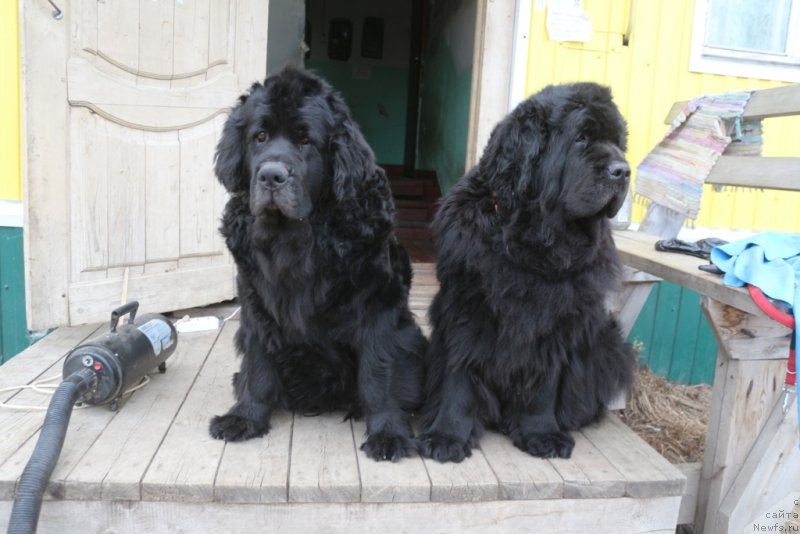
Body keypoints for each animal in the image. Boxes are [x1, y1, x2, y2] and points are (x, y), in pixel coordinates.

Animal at [209, 67, 428, 462]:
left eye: (306, 141)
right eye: (260, 137)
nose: (271, 176)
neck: (296, 235)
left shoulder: (379, 308)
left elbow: (379, 374)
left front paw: (388, 432)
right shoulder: (255, 302)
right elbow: (257, 366)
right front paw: (245, 418)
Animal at [418, 81, 636, 462]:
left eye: (619, 144)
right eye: (581, 138)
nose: (623, 170)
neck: (534, 243)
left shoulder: (555, 323)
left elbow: (543, 383)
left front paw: (542, 433)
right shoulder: (467, 309)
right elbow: (460, 375)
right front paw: (447, 435)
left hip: (608, 340)